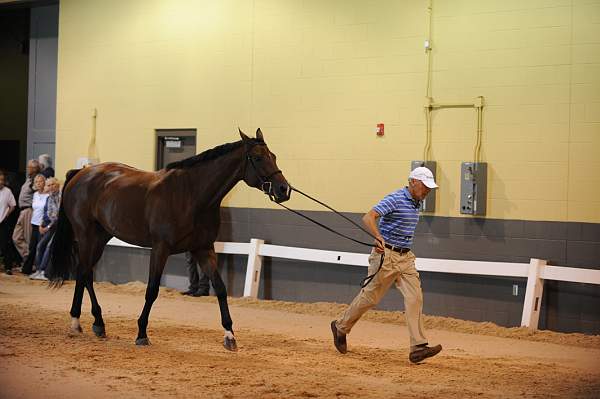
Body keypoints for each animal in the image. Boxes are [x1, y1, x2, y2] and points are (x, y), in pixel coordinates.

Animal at [47, 130, 290, 352]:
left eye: (274, 156)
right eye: (257, 158)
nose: (283, 189)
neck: (192, 195)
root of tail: (82, 172)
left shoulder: (203, 249)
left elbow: (220, 289)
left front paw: (229, 336)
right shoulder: (160, 249)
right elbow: (152, 290)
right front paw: (141, 334)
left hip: (100, 237)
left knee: (85, 273)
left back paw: (96, 324)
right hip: (86, 236)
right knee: (84, 272)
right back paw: (78, 322)